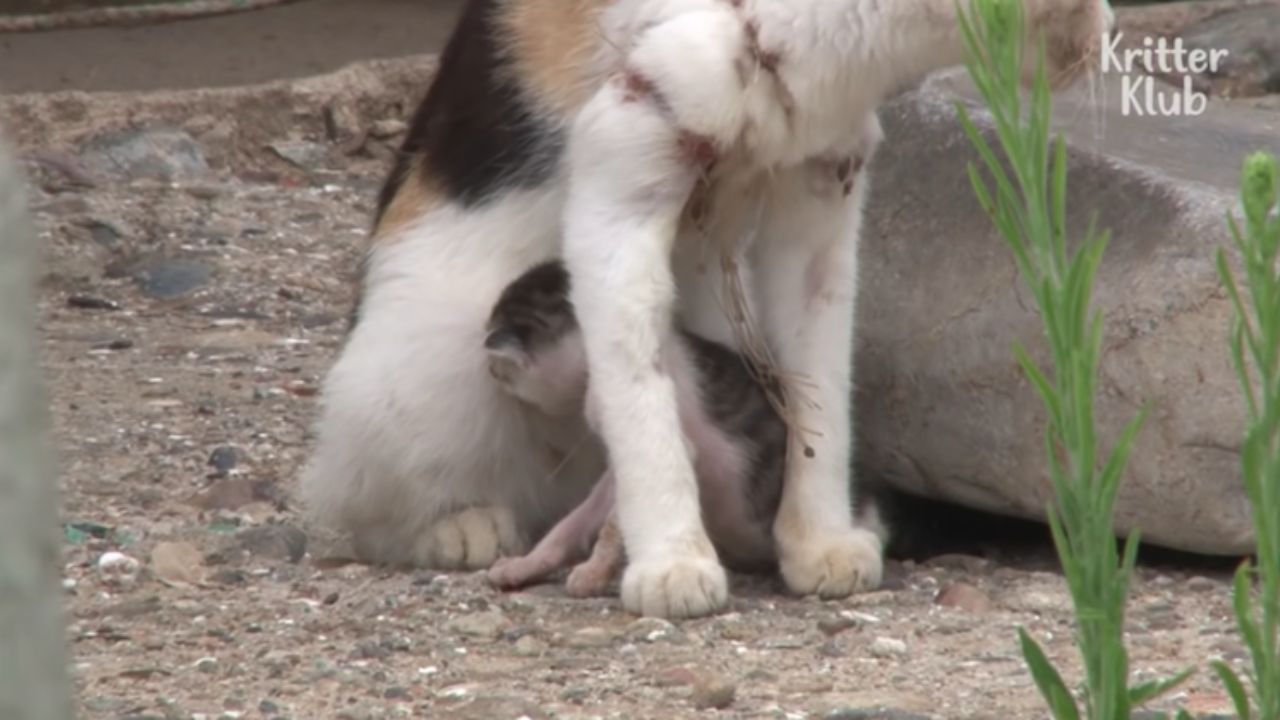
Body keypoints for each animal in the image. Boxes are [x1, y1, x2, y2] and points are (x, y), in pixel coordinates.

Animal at [299, 0, 1111, 617]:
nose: (1108, 25)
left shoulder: (819, 198)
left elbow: (818, 387)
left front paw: (817, 539)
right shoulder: (622, 180)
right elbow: (642, 392)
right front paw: (671, 562)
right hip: (418, 367)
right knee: (355, 498)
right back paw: (462, 527)